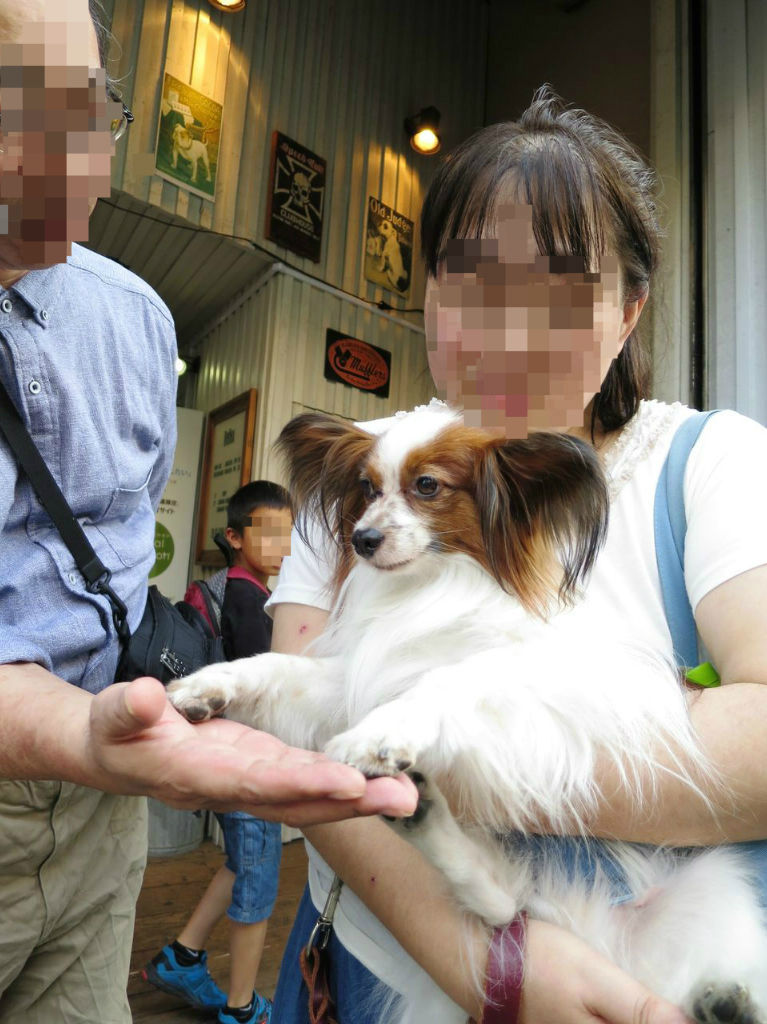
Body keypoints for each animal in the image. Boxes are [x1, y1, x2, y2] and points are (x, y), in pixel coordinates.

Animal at [168, 403, 767, 1024]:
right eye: (366, 489)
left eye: (428, 486)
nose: (362, 538)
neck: (436, 586)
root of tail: (605, 942)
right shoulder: (355, 678)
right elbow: (277, 665)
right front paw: (212, 684)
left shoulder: (574, 678)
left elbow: (451, 677)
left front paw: (386, 728)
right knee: (504, 904)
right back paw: (425, 817)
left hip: (715, 883)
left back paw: (726, 1002)